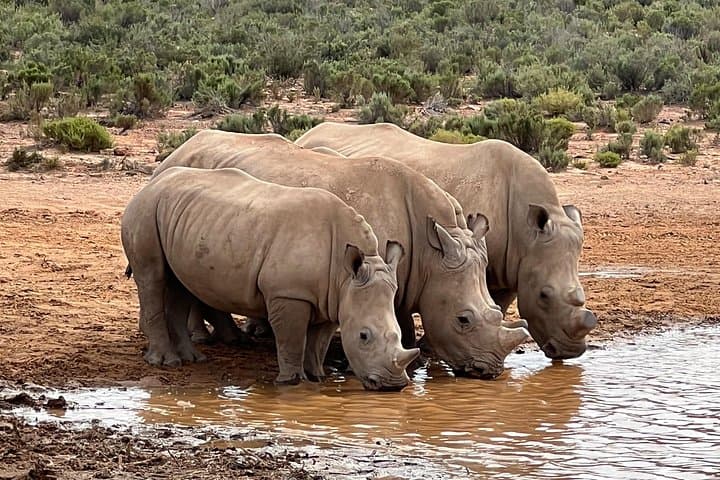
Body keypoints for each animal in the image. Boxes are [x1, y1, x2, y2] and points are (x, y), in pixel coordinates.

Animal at [121, 166, 418, 390]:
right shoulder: (288, 293)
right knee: (152, 277)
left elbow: (317, 343)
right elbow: (292, 340)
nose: (393, 385)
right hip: (145, 210)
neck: (345, 276)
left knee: (181, 284)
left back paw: (193, 359)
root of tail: (151, 183)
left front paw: (317, 377)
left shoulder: (332, 299)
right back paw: (166, 362)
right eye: (364, 336)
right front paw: (291, 382)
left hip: (182, 219)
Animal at [296, 123, 597, 360]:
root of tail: (309, 134)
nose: (571, 352)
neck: (527, 233)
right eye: (544, 295)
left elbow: (496, 306)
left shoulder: (514, 264)